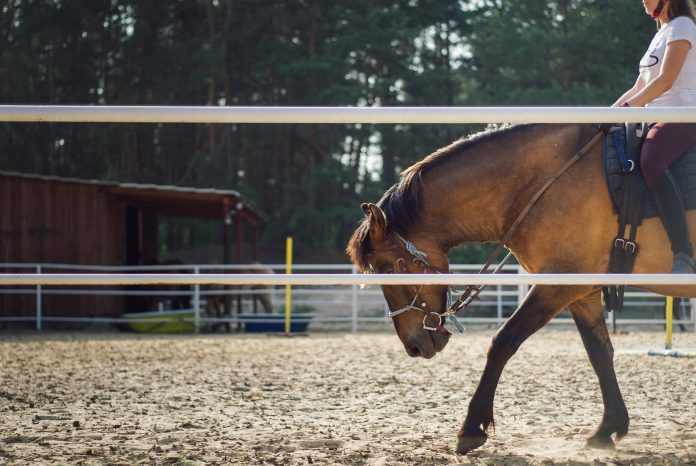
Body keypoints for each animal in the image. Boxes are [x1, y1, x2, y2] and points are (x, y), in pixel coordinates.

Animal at [347, 123, 696, 454]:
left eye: (387, 269)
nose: (414, 346)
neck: (543, 182)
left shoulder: (557, 285)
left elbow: (504, 341)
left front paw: (471, 428)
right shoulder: (580, 291)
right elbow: (599, 352)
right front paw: (608, 428)